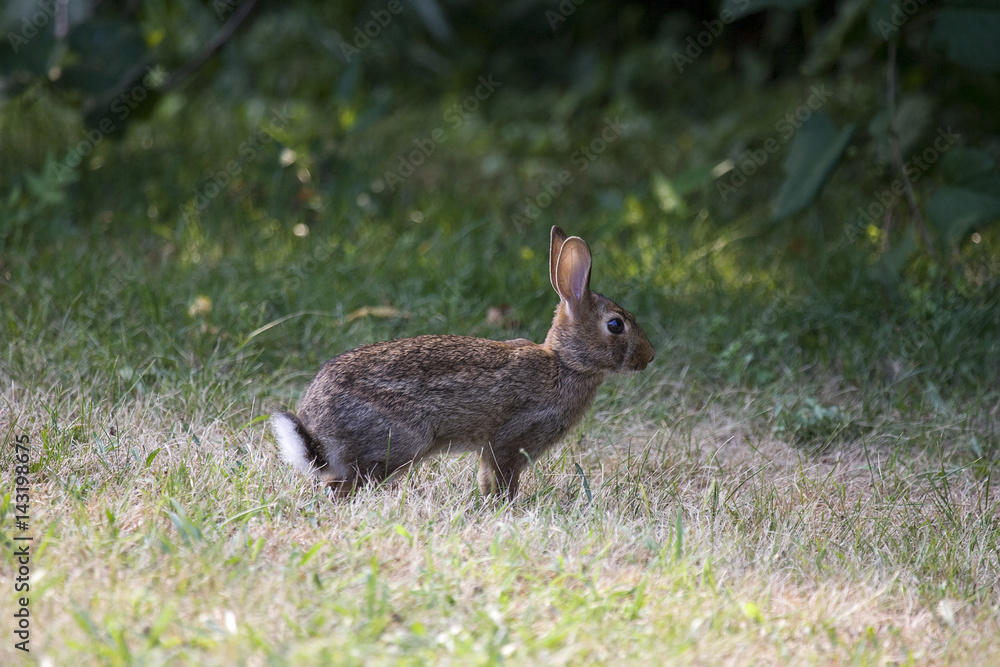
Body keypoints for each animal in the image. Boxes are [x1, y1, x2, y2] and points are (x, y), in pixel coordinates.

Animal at [271, 225, 654, 501]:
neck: (564, 363)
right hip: (400, 442)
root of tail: (316, 428)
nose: (649, 356)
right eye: (616, 325)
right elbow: (501, 476)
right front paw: (505, 507)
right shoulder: (511, 439)